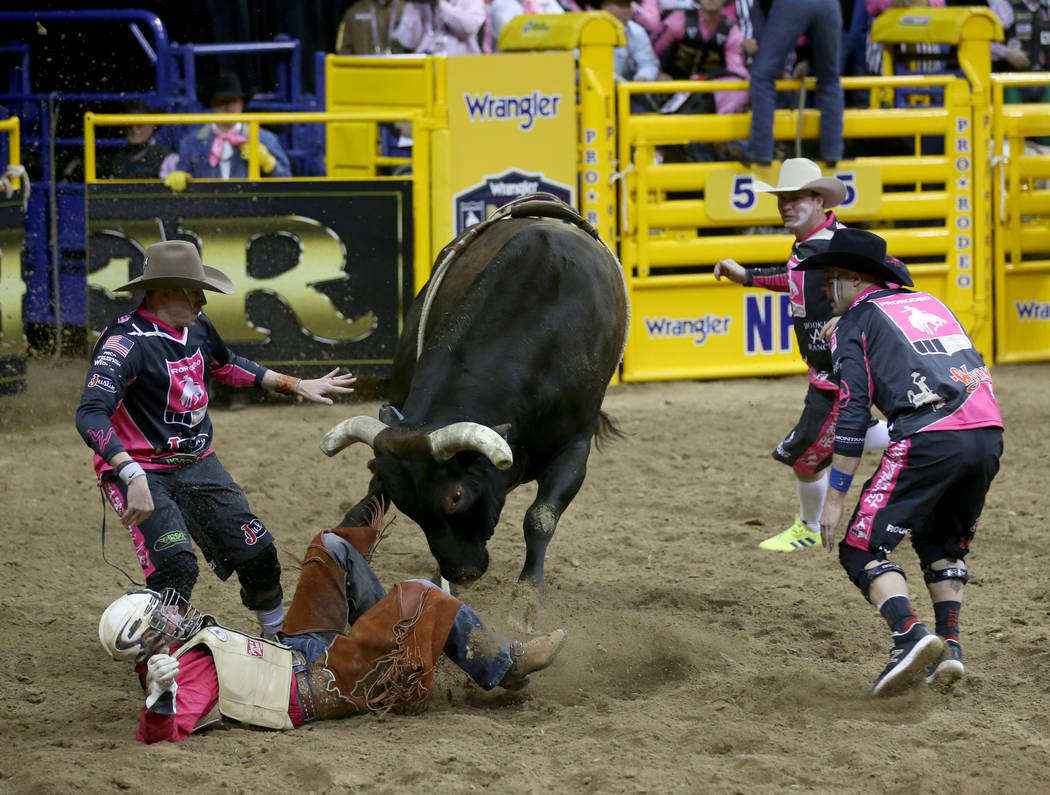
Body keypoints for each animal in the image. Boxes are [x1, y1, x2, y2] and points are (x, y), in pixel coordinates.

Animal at [319, 195, 625, 588]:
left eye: (456, 497)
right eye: (408, 506)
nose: (462, 573)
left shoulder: (574, 446)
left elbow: (540, 517)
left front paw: (529, 590)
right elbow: (373, 494)